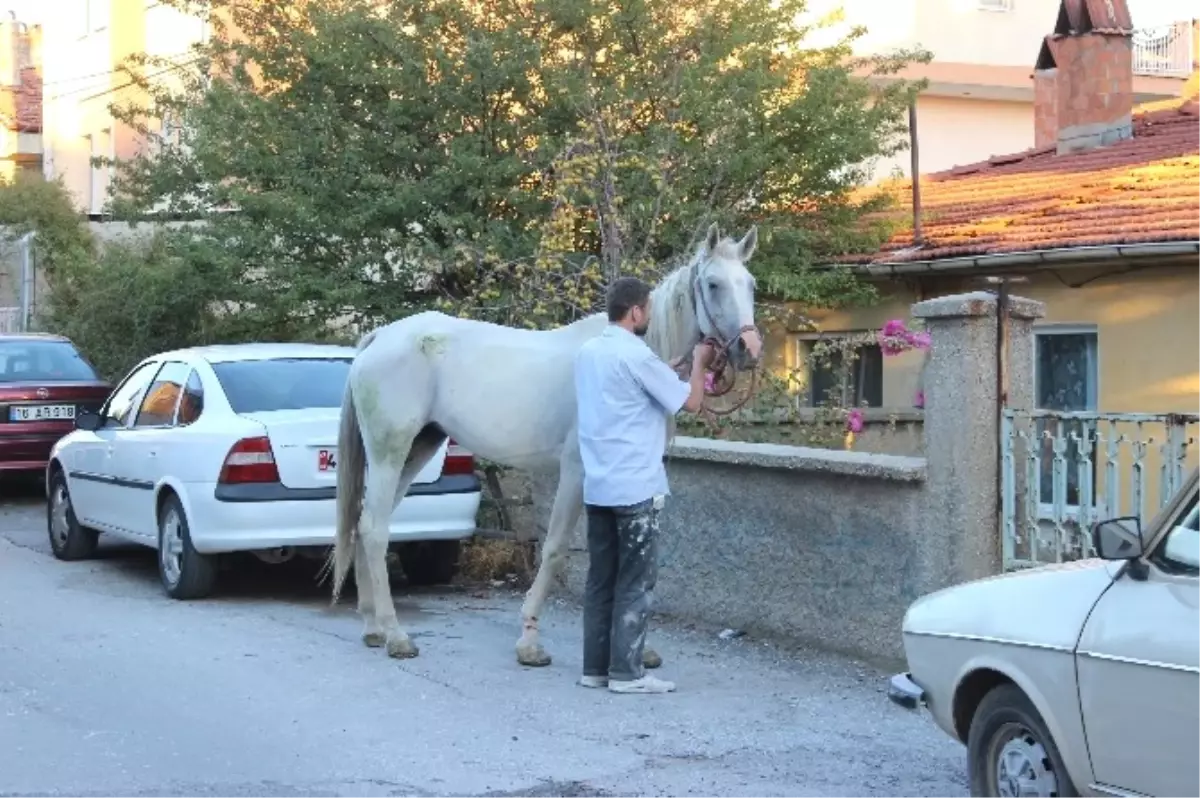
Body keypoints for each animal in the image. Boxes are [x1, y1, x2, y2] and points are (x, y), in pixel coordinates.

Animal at [328, 222, 758, 667]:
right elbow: (554, 548)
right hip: (389, 453)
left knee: (366, 523)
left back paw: (373, 627)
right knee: (375, 529)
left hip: (417, 451)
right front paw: (530, 640)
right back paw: (396, 635)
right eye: (713, 284)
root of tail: (380, 337)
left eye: (751, 285)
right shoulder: (576, 471)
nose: (749, 349)